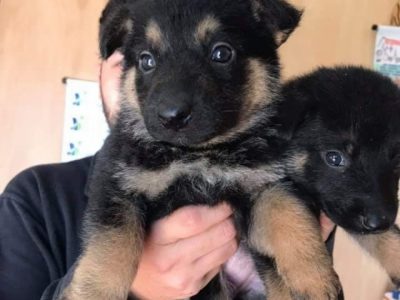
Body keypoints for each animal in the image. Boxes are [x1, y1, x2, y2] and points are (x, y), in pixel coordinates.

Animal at [59, 0, 344, 300]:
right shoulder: (116, 186)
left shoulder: (265, 182)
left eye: (222, 53)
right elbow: (109, 252)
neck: (196, 155)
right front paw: (91, 292)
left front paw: (314, 276)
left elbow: (291, 217)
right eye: (147, 60)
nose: (172, 116)